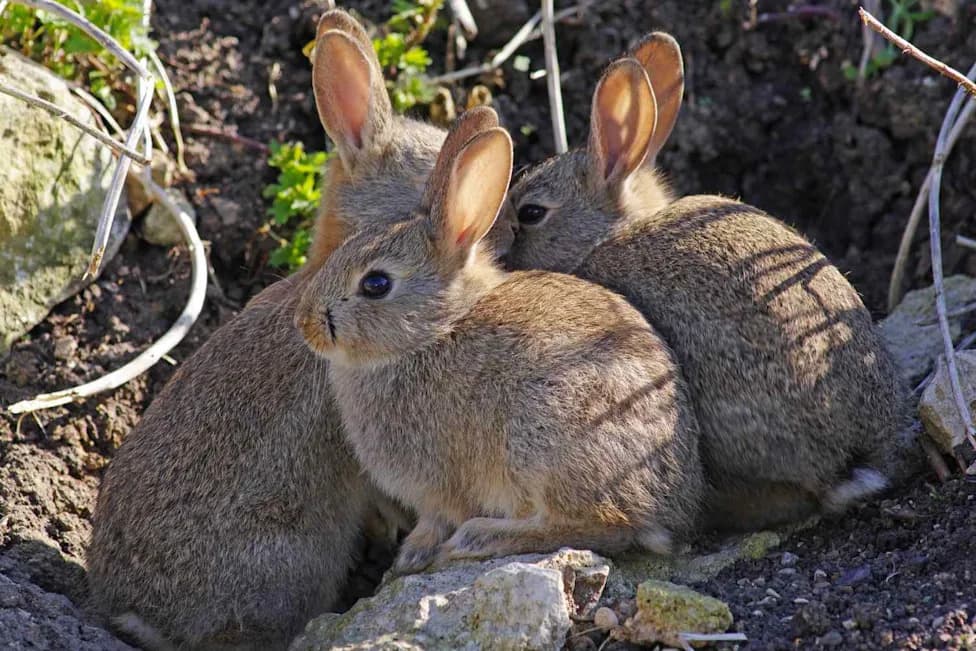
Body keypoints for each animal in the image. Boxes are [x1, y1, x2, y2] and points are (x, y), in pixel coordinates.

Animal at [293, 111, 705, 577]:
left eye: (376, 284)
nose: (305, 323)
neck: (431, 333)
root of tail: (672, 511)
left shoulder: (437, 484)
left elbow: (436, 519)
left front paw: (412, 555)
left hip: (542, 435)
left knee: (603, 524)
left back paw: (481, 537)